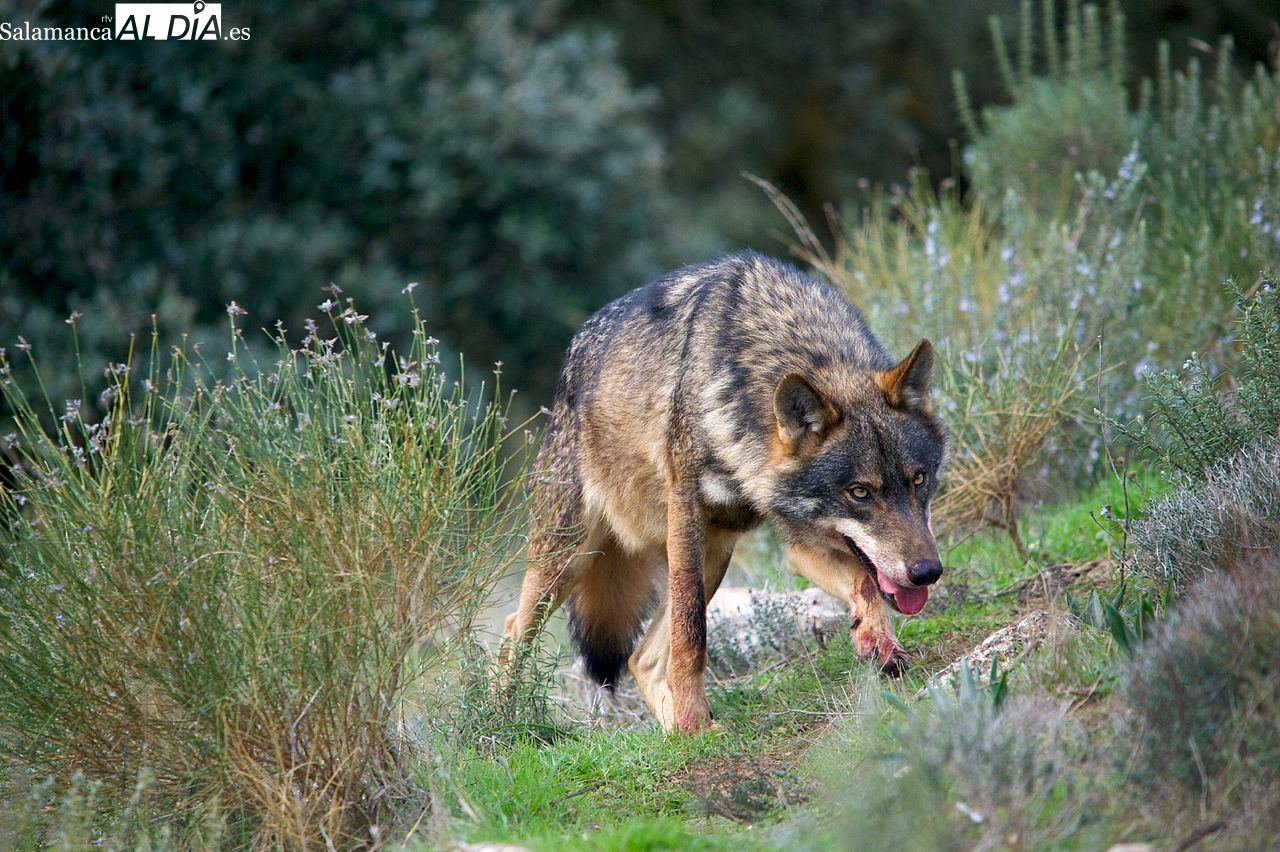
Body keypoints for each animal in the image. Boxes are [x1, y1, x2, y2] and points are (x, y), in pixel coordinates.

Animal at [504, 250, 947, 731]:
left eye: (919, 480)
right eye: (860, 492)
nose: (928, 572)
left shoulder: (799, 540)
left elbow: (864, 583)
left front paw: (878, 643)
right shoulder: (686, 513)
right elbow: (691, 637)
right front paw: (693, 717)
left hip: (714, 554)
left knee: (641, 659)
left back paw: (680, 734)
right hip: (570, 559)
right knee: (513, 630)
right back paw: (501, 720)